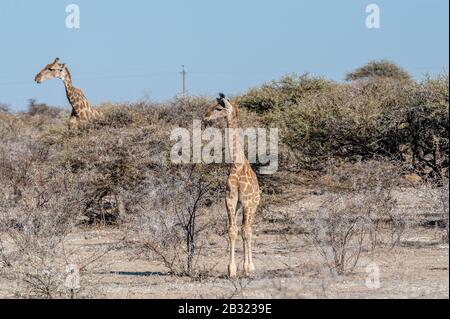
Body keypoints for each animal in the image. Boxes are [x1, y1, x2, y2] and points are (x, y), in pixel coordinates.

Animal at [203, 94, 262, 278]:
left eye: (218, 108)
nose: (205, 117)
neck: (236, 164)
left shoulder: (247, 202)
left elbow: (245, 232)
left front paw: (247, 268)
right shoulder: (230, 199)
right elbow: (232, 231)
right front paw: (232, 269)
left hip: (253, 205)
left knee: (248, 230)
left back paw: (250, 267)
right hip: (239, 205)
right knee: (243, 229)